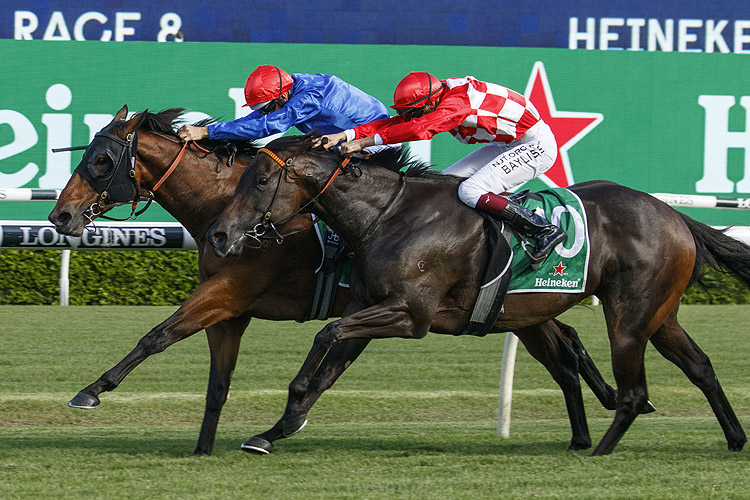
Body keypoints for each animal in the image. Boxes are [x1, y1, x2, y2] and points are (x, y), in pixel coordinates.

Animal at [48, 107, 624, 456]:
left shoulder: (226, 294)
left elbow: (158, 335)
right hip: (518, 310)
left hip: (512, 310)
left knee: (565, 354)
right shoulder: (232, 310)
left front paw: (91, 392)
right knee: (565, 351)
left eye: (101, 160)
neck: (224, 205)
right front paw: (205, 447)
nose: (60, 216)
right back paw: (600, 414)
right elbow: (216, 383)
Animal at [207, 134, 750, 458]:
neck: (389, 215)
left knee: (635, 392)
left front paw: (288, 415)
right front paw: (274, 430)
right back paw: (734, 438)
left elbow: (326, 333)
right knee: (699, 366)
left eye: (259, 180)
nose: (218, 235)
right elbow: (327, 367)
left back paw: (599, 451)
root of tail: (673, 214)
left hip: (629, 316)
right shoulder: (370, 307)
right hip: (659, 314)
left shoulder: (410, 314)